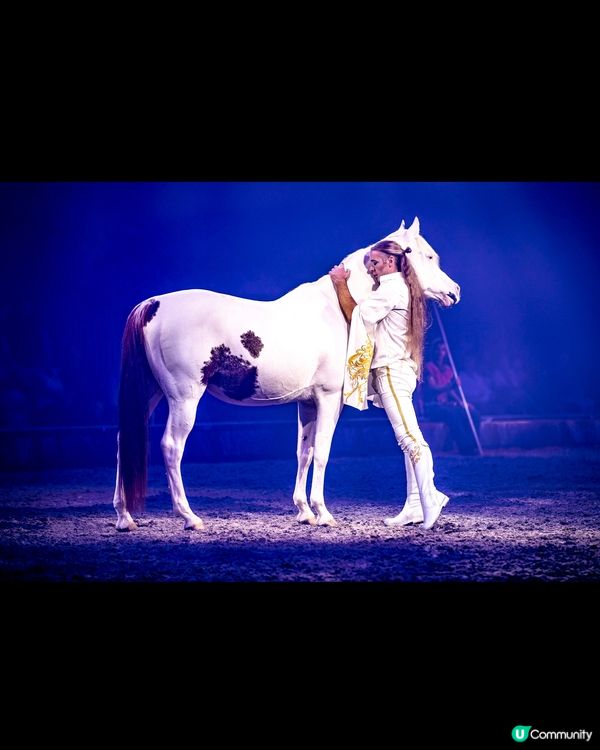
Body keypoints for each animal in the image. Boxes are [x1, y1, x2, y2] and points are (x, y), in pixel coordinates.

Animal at [113, 217, 460, 532]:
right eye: (428, 255)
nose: (454, 291)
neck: (336, 309)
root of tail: (152, 305)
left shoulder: (307, 403)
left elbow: (304, 452)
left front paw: (304, 512)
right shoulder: (329, 399)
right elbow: (322, 452)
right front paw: (323, 513)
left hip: (151, 393)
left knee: (124, 439)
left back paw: (125, 518)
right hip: (184, 398)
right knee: (172, 447)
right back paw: (189, 517)